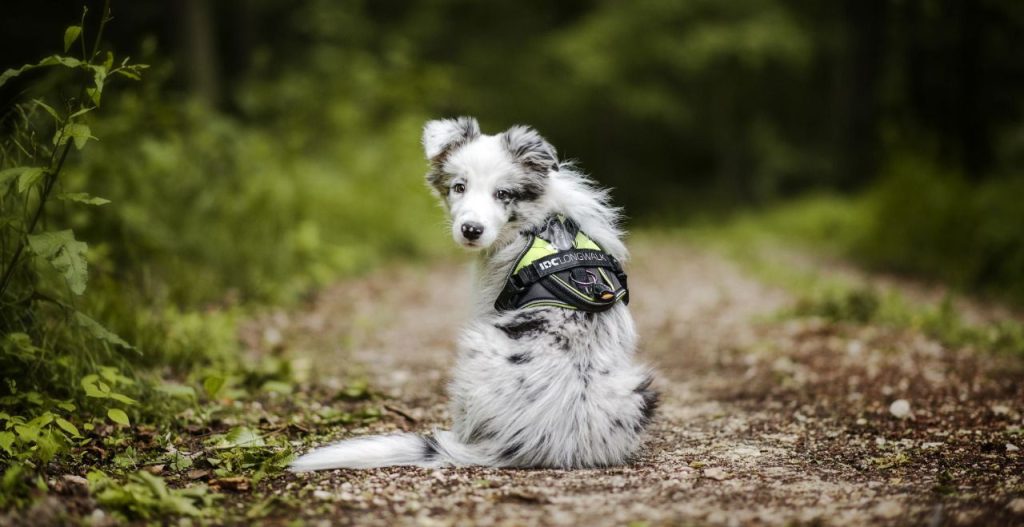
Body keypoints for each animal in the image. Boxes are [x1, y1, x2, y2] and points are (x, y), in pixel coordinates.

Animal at [290, 116, 655, 470]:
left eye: (503, 194)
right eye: (459, 187)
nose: (471, 230)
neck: (537, 221)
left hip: (474, 351)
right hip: (636, 391)